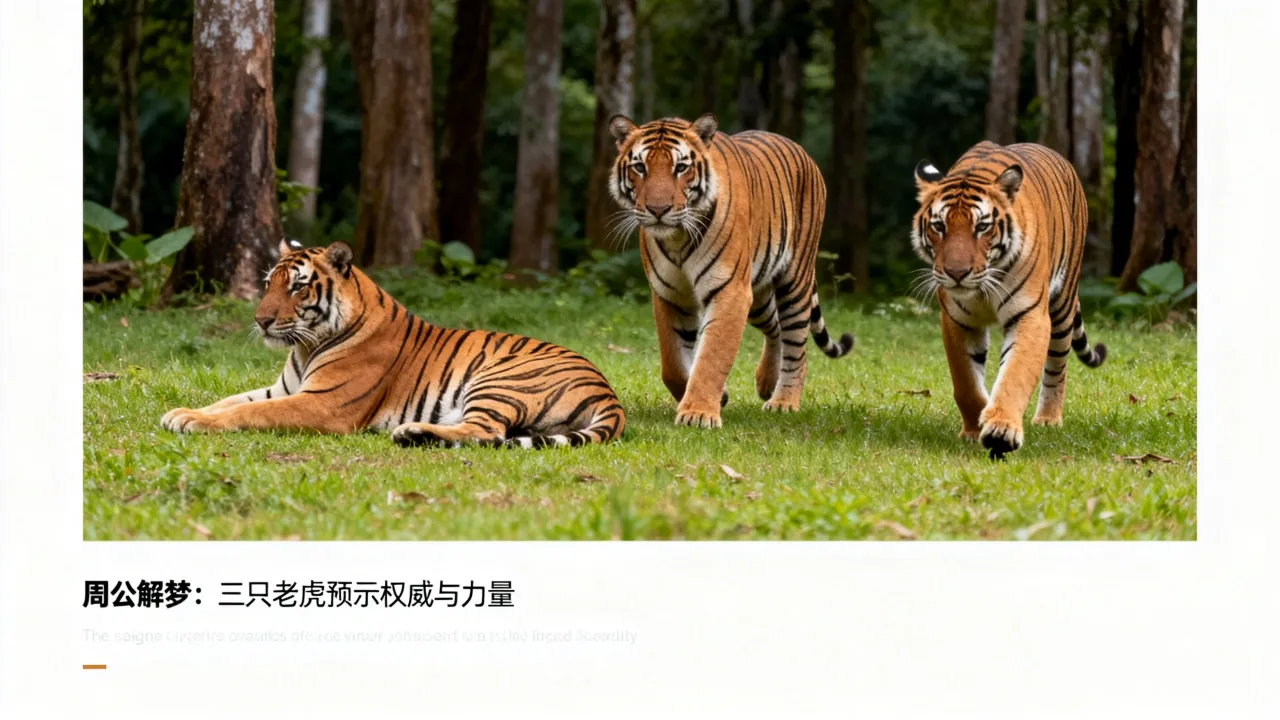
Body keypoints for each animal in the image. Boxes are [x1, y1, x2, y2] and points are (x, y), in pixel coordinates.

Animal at [160, 239, 626, 449]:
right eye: (267, 284)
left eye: (297, 287)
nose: (261, 320)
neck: (307, 345)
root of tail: (609, 393)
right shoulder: (283, 388)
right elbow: (229, 400)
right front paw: (181, 413)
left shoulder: (321, 403)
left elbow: (250, 412)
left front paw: (192, 422)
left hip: (499, 380)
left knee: (485, 432)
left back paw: (409, 432)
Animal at [606, 113, 854, 429]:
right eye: (640, 167)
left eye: (681, 168)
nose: (658, 210)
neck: (677, 239)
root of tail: (799, 148)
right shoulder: (670, 295)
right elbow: (672, 365)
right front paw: (714, 396)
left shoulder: (730, 290)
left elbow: (712, 355)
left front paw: (698, 413)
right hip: (758, 296)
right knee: (775, 328)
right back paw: (766, 382)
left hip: (795, 281)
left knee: (797, 346)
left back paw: (783, 402)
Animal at [910, 140, 1108, 458]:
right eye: (939, 227)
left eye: (982, 227)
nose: (956, 273)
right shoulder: (956, 319)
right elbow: (966, 383)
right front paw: (974, 428)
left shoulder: (1030, 315)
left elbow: (1015, 375)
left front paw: (1001, 430)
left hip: (1063, 305)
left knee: (1057, 367)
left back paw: (1048, 419)